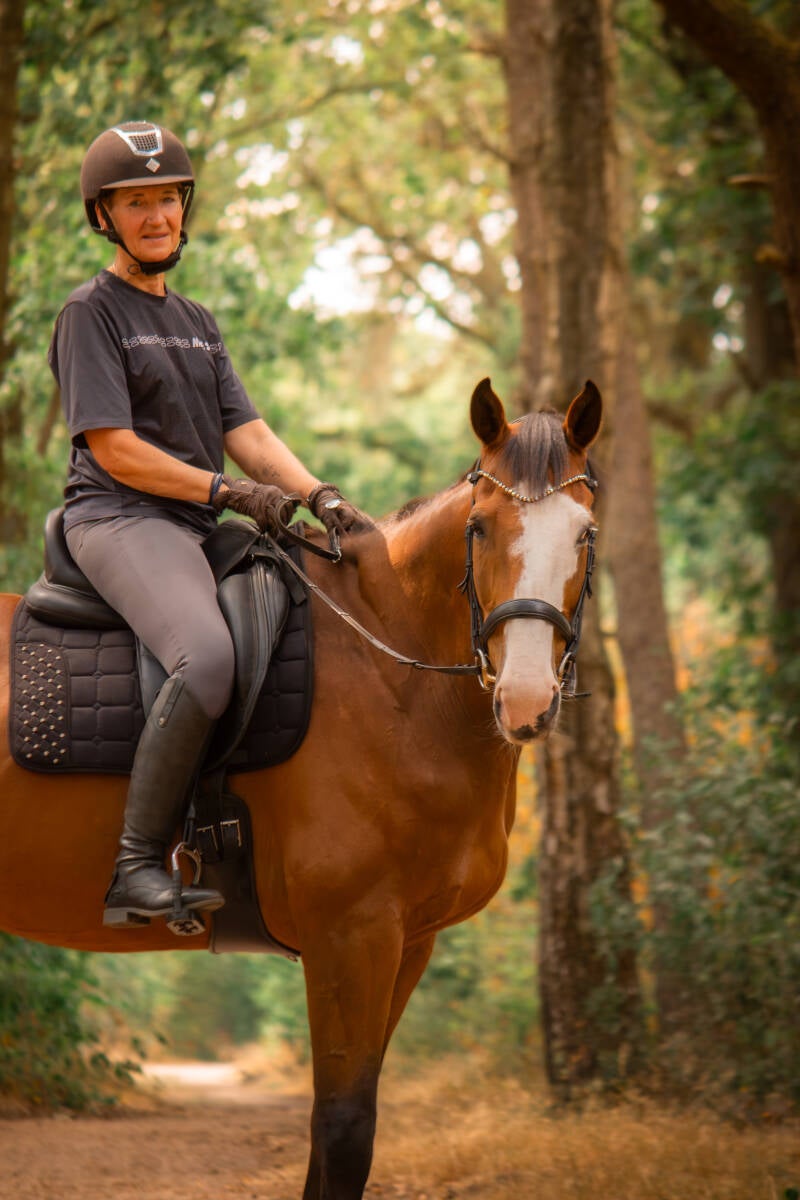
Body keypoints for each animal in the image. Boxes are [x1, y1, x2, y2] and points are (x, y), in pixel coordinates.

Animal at [0, 376, 601, 1200]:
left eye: (584, 534)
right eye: (479, 529)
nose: (527, 698)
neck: (393, 674)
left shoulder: (408, 940)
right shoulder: (350, 933)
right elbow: (344, 1131)